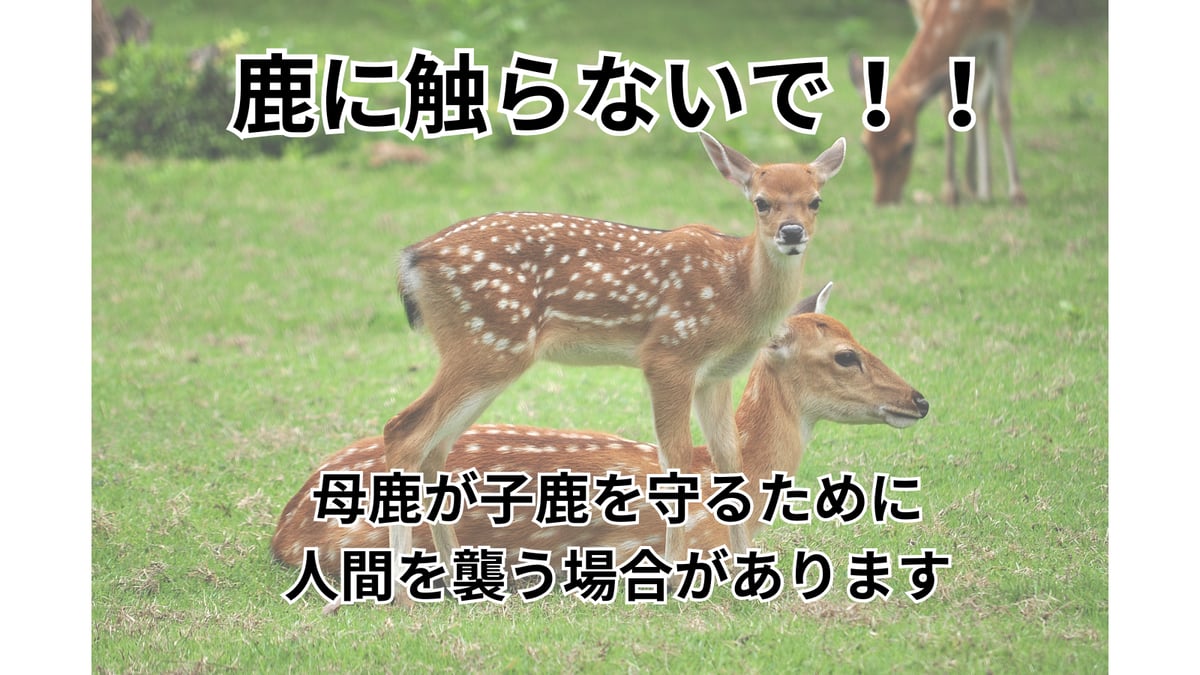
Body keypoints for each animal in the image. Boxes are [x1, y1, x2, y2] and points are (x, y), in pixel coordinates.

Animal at [381, 131, 846, 600]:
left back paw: (456, 578)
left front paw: (744, 570)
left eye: (816, 200)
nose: (792, 232)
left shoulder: (716, 375)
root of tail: (412, 259)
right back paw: (402, 591)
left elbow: (728, 456)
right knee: (404, 430)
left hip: (484, 349)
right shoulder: (669, 353)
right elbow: (676, 458)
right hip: (487, 342)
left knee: (435, 447)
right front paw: (674, 576)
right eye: (761, 202)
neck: (737, 290)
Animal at [850, 0, 1033, 205]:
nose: (883, 201)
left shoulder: (1004, 29)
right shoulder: (923, 18)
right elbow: (947, 105)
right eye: (865, 145)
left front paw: (1018, 193)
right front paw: (950, 192)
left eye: (907, 146)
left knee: (983, 100)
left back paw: (984, 190)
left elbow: (1003, 109)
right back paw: (971, 185)